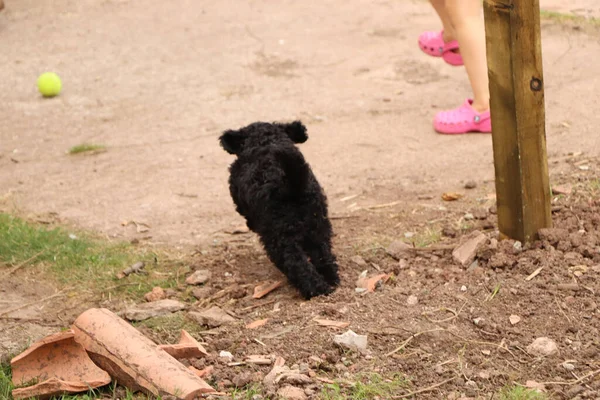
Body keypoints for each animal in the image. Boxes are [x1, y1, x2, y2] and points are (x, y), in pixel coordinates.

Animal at [220, 122, 340, 300]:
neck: (265, 141)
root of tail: (291, 186)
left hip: (279, 238)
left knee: (295, 263)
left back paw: (316, 290)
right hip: (318, 225)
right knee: (323, 254)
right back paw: (331, 279)